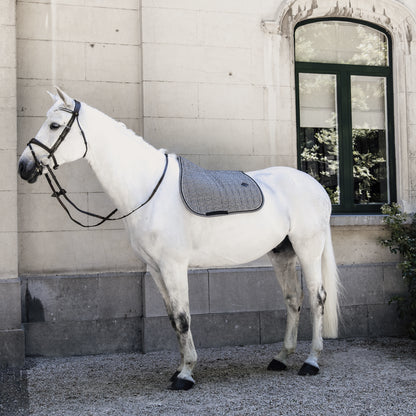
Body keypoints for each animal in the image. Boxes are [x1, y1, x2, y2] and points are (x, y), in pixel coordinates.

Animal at [17, 88, 340, 390]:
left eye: (55, 125)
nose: (23, 166)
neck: (149, 190)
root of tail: (317, 187)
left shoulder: (173, 266)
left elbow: (184, 318)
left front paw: (185, 375)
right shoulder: (156, 269)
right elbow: (174, 319)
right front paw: (179, 369)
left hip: (308, 250)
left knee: (317, 298)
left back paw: (311, 361)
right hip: (282, 253)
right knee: (293, 299)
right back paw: (281, 358)